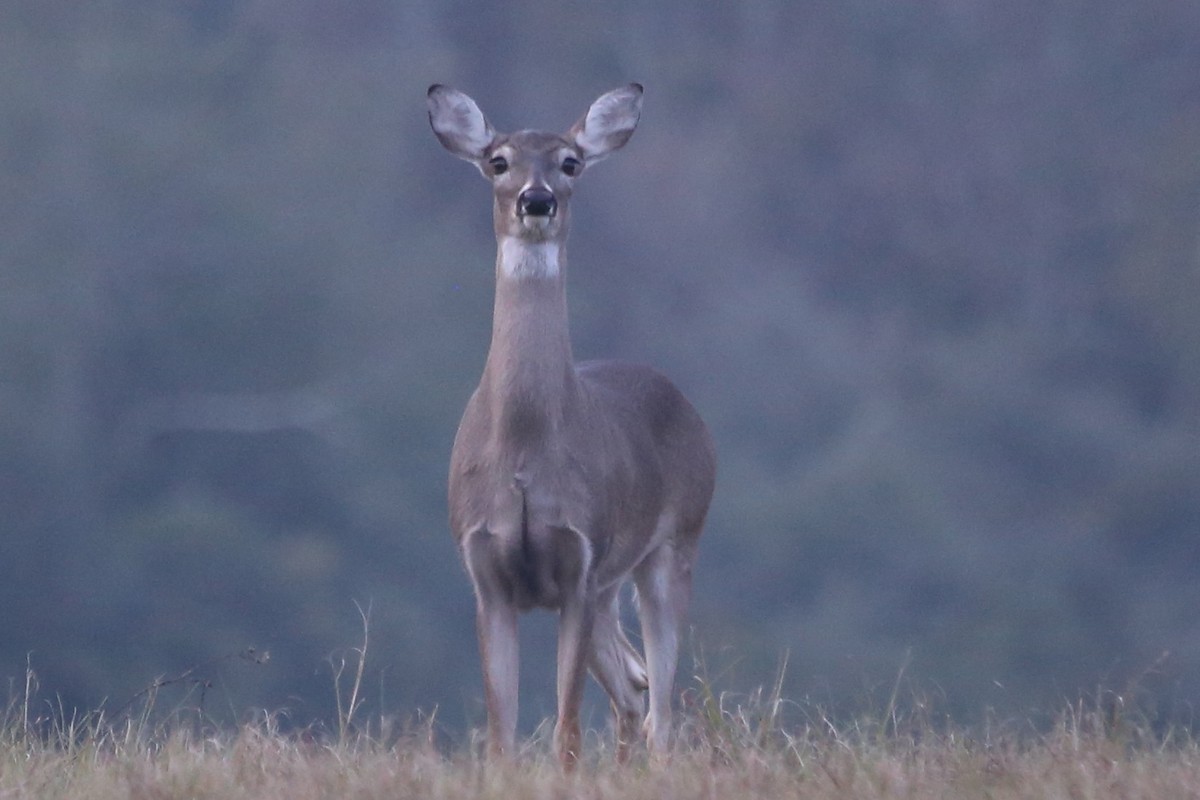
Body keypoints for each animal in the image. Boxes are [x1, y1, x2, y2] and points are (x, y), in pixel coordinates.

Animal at [426, 83, 716, 768]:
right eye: (498, 161)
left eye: (570, 162)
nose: (537, 200)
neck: (524, 449)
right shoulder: (486, 573)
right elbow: (501, 731)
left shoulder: (581, 561)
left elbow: (566, 727)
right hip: (611, 588)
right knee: (635, 687)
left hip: (674, 544)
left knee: (661, 705)